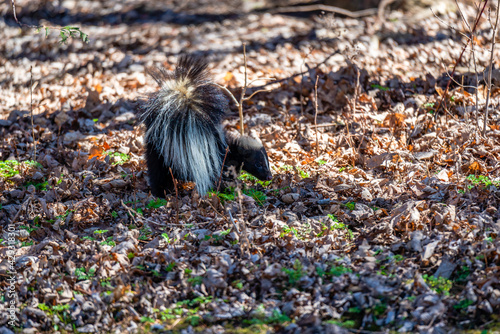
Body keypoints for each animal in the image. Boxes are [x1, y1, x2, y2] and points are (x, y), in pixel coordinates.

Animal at [139, 54, 272, 196]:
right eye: (258, 164)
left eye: (267, 162)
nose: (269, 176)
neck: (232, 148)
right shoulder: (220, 161)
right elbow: (221, 177)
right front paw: (231, 187)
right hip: (160, 154)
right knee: (158, 173)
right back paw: (160, 193)